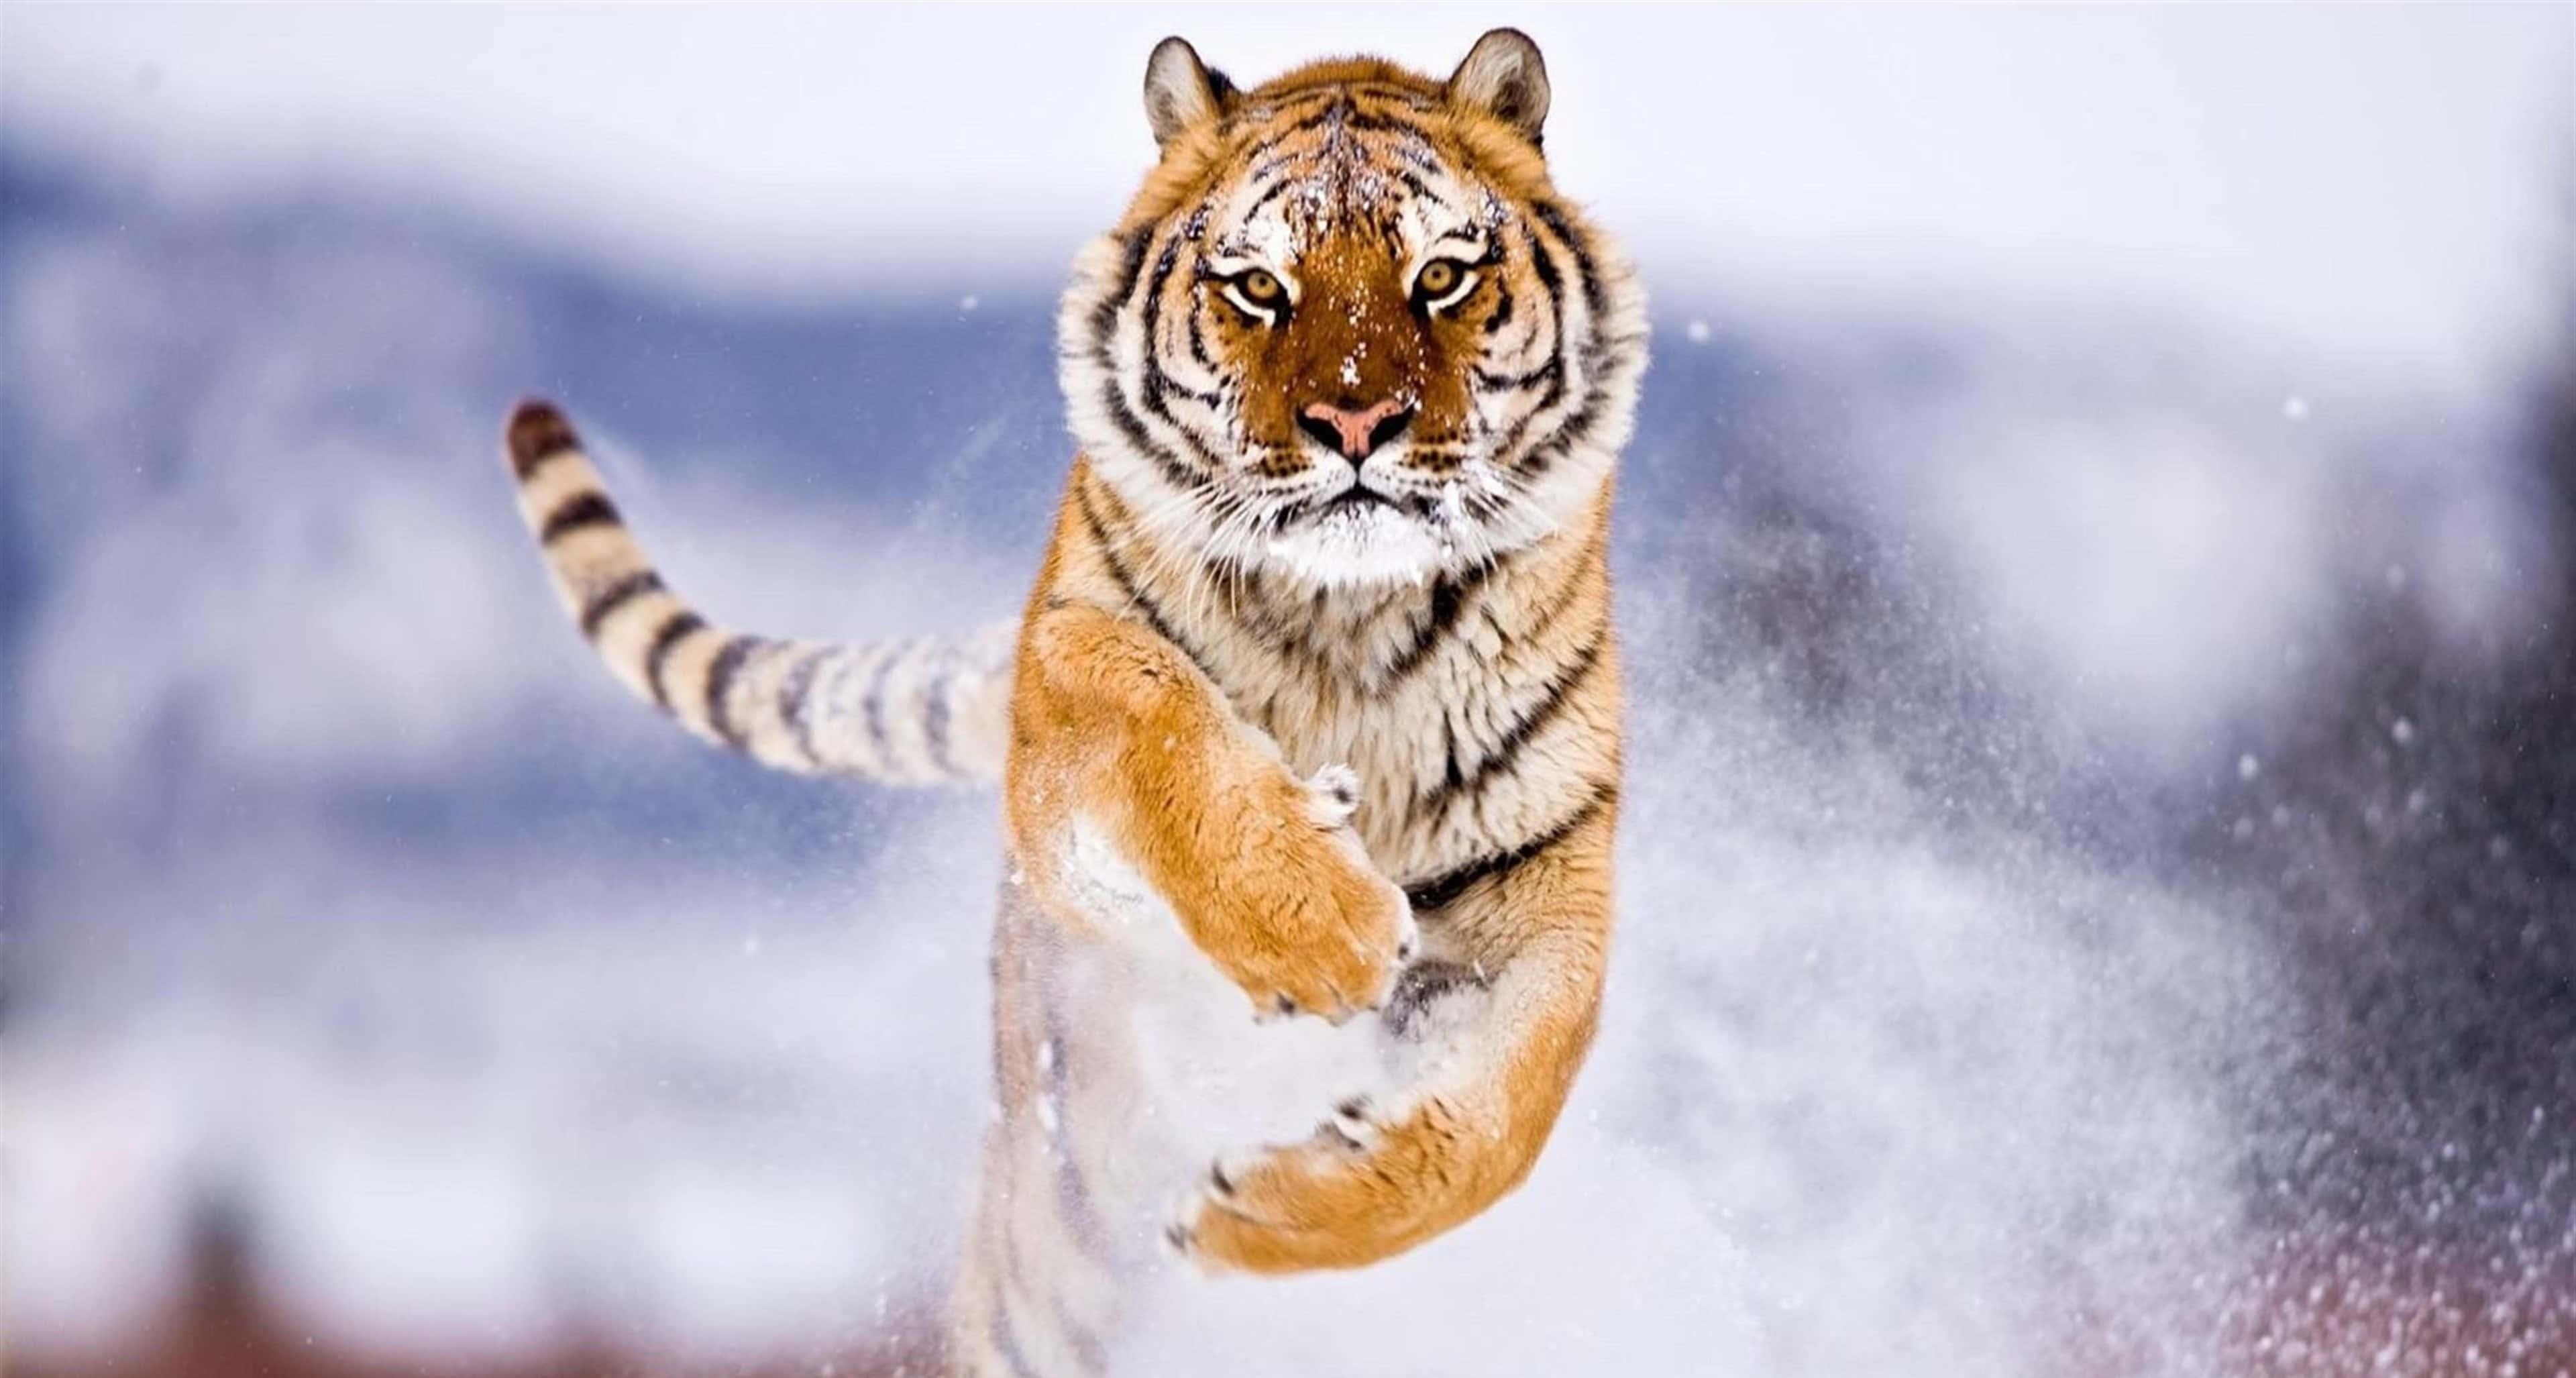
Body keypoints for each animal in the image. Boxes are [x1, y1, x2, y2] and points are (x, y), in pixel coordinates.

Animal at [501, 28, 1644, 1375]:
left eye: (1444, 276)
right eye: (1259, 287)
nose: (1357, 419)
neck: (1346, 623)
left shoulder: (1543, 876)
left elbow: (1509, 1114)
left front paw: (1264, 1210)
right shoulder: (1064, 720)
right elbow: (1153, 712)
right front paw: (1324, 925)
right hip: (1049, 1250)